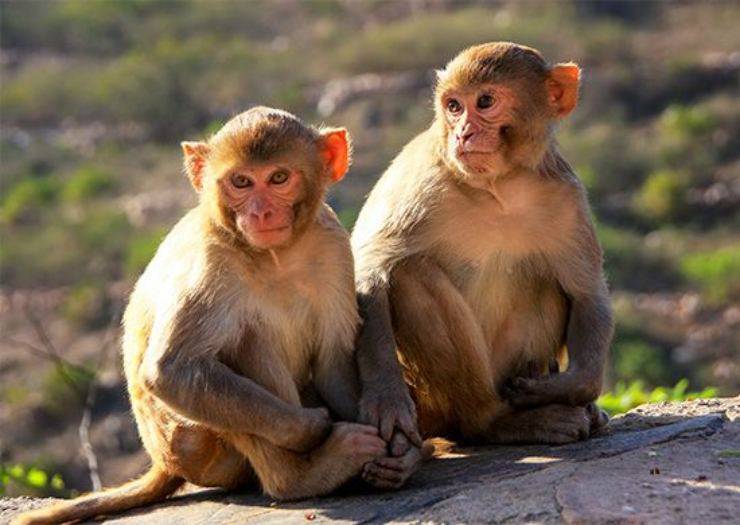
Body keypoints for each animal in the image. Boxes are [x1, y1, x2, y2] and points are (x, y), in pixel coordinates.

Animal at [14, 107, 423, 525]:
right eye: (241, 182)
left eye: (278, 178)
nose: (261, 212)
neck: (277, 255)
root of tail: (163, 461)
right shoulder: (211, 261)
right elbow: (172, 370)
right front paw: (312, 427)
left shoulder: (333, 246)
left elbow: (333, 361)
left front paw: (401, 448)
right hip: (191, 443)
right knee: (241, 344)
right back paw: (303, 475)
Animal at [351, 42, 614, 448]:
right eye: (454, 106)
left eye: (485, 101)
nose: (463, 134)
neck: (499, 187)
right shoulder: (419, 183)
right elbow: (370, 270)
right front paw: (387, 398)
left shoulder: (566, 196)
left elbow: (586, 292)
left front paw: (565, 388)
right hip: (432, 400)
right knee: (409, 275)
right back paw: (497, 421)